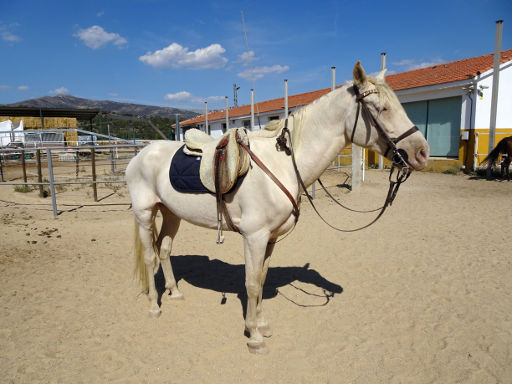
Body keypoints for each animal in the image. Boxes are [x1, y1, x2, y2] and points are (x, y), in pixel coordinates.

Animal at [126, 62, 430, 354]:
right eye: (382, 108)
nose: (422, 152)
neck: (282, 164)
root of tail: (141, 154)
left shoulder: (270, 238)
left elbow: (261, 279)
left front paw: (261, 324)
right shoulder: (255, 236)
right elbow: (250, 283)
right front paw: (254, 337)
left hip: (171, 213)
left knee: (165, 250)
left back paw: (175, 292)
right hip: (145, 214)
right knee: (150, 257)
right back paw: (154, 306)